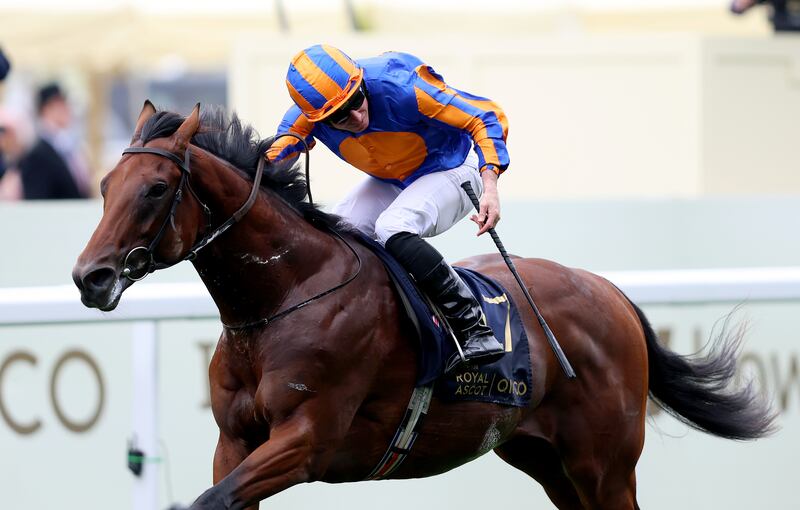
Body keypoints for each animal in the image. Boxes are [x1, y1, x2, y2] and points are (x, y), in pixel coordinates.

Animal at [72, 101, 772, 508]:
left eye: (155, 188)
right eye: (104, 185)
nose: (89, 277)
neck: (281, 300)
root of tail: (608, 292)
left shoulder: (307, 439)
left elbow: (212, 499)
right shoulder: (236, 439)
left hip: (604, 464)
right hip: (547, 460)